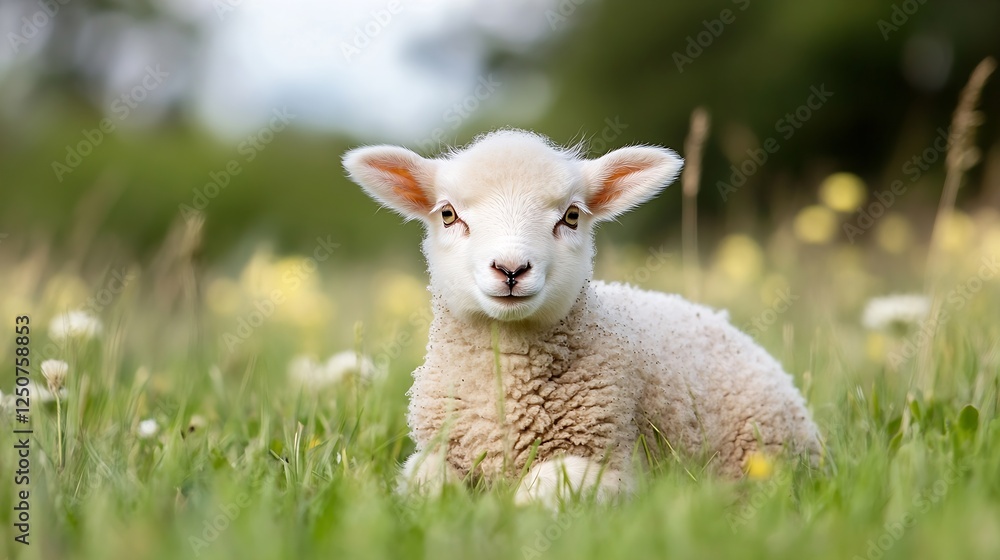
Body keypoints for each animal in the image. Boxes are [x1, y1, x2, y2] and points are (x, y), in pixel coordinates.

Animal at [342, 129, 821, 507]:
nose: (511, 269)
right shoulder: (438, 454)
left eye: (571, 216)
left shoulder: (616, 468)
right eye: (447, 214)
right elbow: (424, 485)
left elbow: (540, 490)